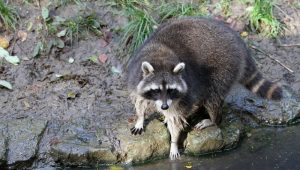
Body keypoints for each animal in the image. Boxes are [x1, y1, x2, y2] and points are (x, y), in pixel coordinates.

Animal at [125, 17, 282, 160]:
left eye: (170, 90)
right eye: (156, 90)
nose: (164, 107)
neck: (160, 57)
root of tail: (239, 42)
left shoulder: (182, 93)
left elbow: (176, 116)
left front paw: (174, 142)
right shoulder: (135, 75)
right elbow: (139, 99)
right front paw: (140, 118)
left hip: (224, 67)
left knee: (213, 96)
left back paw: (214, 119)